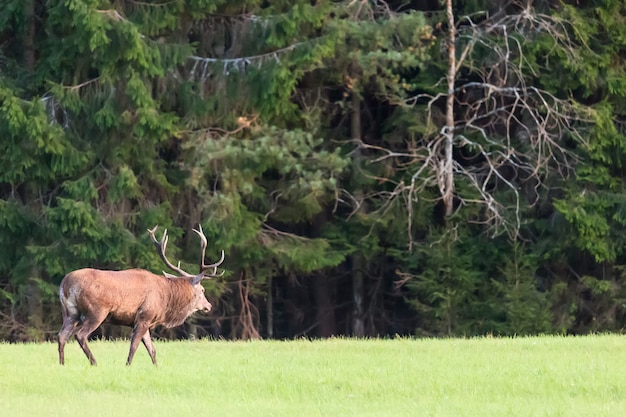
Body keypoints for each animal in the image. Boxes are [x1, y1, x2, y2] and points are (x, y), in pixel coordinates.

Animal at [55, 224, 222, 364]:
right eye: (202, 290)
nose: (209, 305)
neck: (167, 299)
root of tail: (65, 284)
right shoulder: (144, 315)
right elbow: (134, 346)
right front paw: (127, 366)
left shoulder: (145, 320)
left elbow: (152, 350)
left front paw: (156, 367)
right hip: (97, 311)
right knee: (80, 335)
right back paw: (94, 363)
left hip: (70, 312)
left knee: (62, 336)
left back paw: (62, 364)